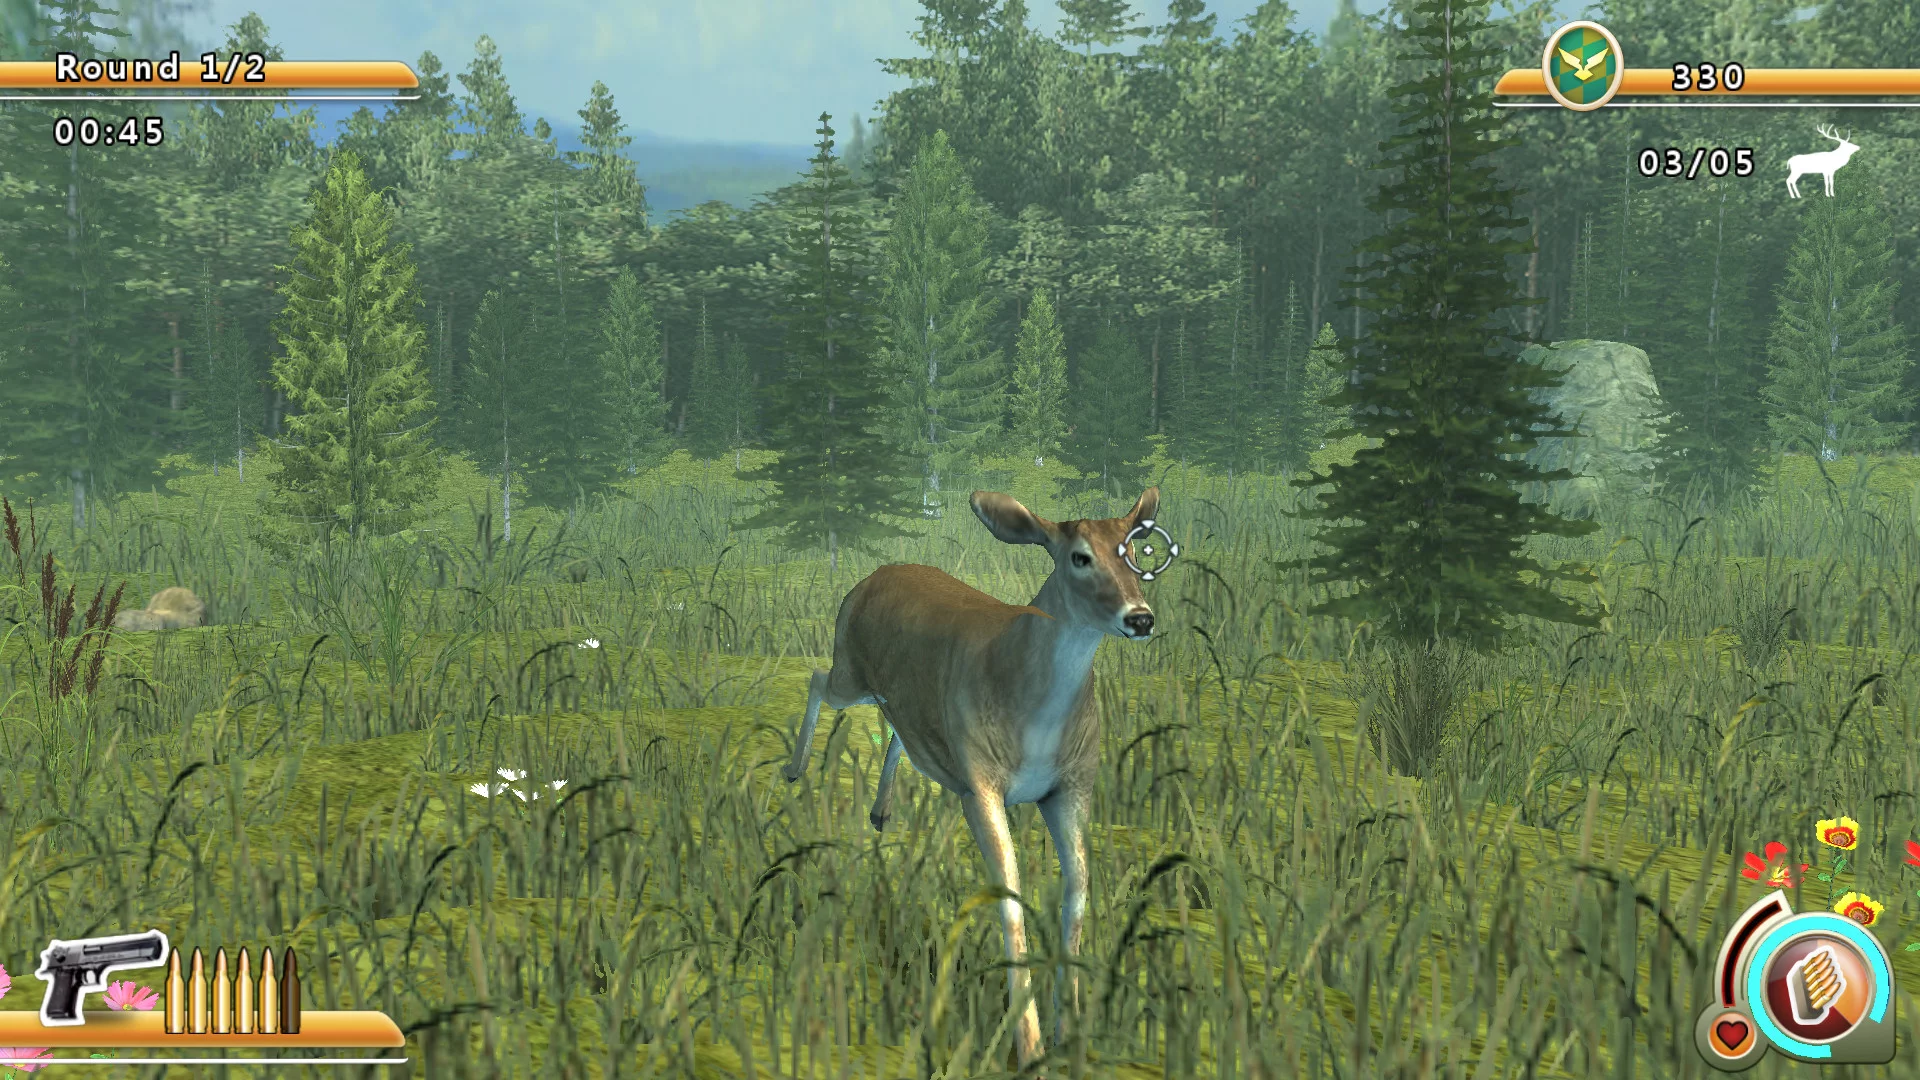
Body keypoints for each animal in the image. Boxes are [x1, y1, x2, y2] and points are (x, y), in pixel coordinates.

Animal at [781, 488, 1162, 1070]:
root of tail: (871, 576)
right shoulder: (981, 784)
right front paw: (1027, 1046)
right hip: (851, 667)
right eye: (1079, 557)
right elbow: (1009, 894)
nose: (1140, 618)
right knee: (818, 679)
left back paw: (880, 810)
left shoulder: (1073, 786)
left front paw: (1071, 1032)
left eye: (1136, 554)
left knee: (898, 729)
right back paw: (794, 767)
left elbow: (1077, 890)